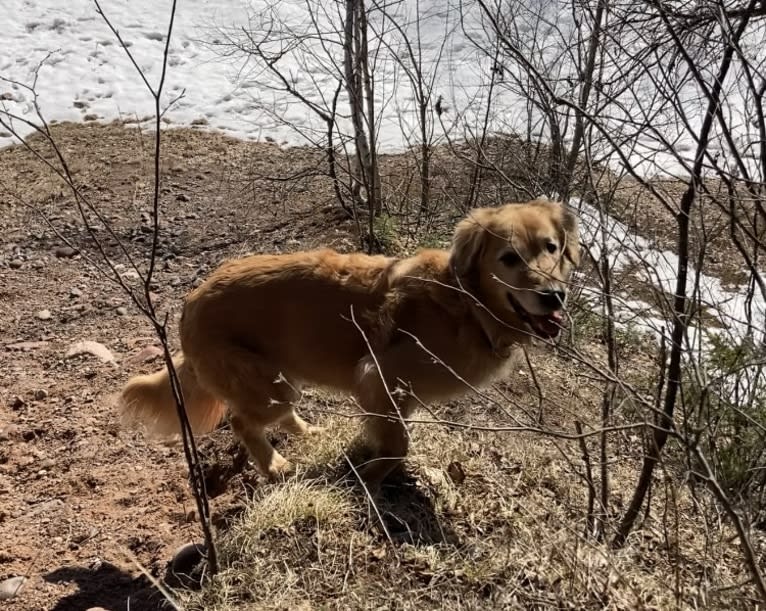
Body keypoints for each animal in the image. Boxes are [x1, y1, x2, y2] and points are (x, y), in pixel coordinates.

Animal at [118, 198, 584, 490]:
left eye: (551, 248)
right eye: (508, 258)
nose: (554, 296)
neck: (464, 305)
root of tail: (191, 302)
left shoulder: (393, 395)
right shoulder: (378, 378)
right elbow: (398, 445)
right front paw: (372, 474)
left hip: (282, 378)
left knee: (281, 414)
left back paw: (309, 431)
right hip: (264, 385)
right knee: (242, 422)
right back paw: (275, 467)